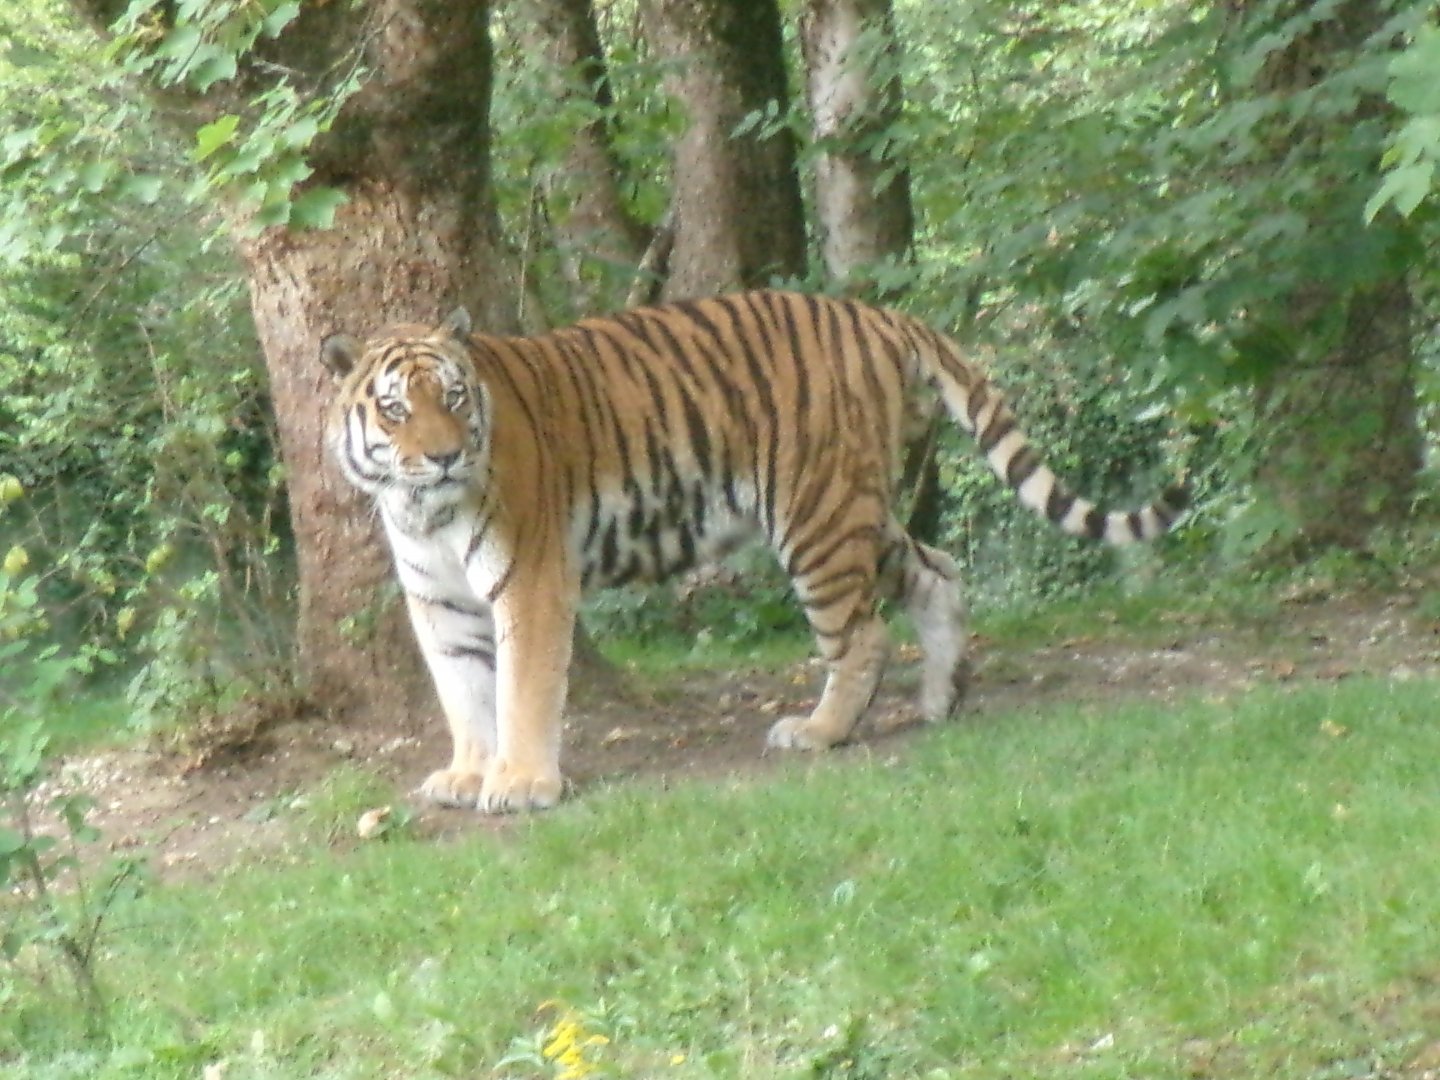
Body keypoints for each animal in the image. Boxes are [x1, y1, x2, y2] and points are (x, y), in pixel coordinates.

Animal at [319, 289, 1184, 814]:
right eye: (396, 410)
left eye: (454, 397)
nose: (444, 456)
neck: (422, 507)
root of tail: (877, 315)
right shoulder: (437, 597)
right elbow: (463, 690)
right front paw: (468, 773)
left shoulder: (531, 579)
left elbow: (523, 690)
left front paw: (524, 784)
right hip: (860, 507)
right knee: (937, 573)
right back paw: (941, 699)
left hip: (815, 515)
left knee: (862, 636)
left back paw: (819, 732)